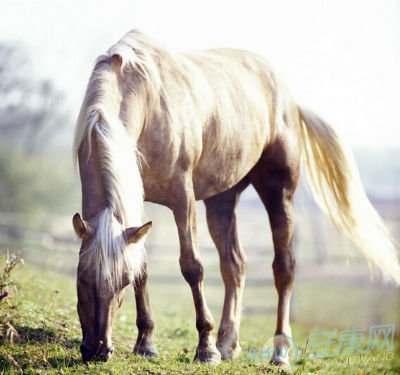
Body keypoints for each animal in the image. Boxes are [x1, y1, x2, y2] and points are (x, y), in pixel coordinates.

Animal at [72, 30, 400, 368]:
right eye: (81, 277)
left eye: (121, 282)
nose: (97, 349)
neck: (142, 95)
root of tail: (289, 100)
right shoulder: (139, 207)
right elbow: (146, 268)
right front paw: (146, 344)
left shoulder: (182, 197)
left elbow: (192, 267)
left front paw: (206, 348)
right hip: (222, 201)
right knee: (235, 265)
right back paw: (228, 343)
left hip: (279, 193)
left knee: (284, 268)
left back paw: (279, 352)